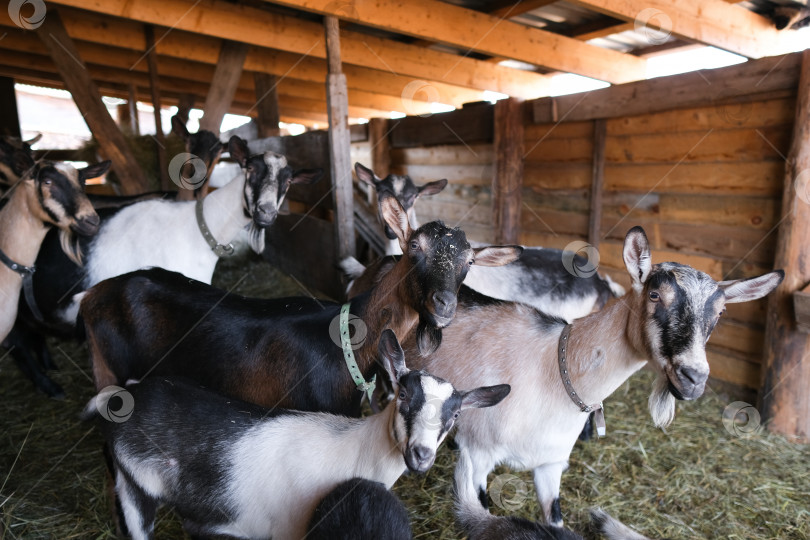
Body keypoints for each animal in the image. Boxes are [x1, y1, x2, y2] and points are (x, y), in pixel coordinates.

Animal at [82, 192, 520, 416]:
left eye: (469, 263)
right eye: (414, 247)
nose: (443, 305)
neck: (347, 344)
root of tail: (94, 294)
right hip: (112, 376)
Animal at [85, 330, 508, 540]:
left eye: (455, 415)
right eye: (403, 394)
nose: (421, 455)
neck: (354, 451)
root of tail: (126, 396)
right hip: (135, 488)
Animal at [400, 226, 780, 528]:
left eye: (721, 313)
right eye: (655, 294)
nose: (693, 378)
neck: (551, 370)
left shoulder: (550, 466)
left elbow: (554, 520)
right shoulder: (477, 457)